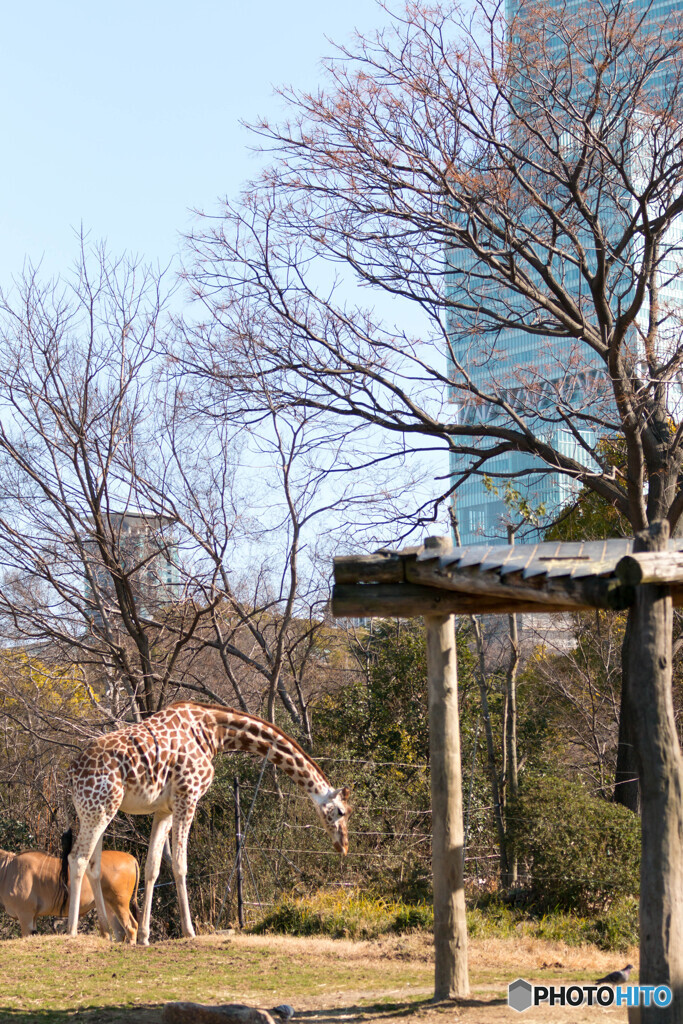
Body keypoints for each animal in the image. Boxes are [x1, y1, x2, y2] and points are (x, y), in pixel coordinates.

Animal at [66, 704, 350, 942]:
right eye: (341, 811)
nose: (344, 846)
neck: (214, 732)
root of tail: (72, 771)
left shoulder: (164, 809)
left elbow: (152, 868)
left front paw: (145, 937)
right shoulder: (188, 796)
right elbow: (180, 864)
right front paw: (189, 931)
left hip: (98, 809)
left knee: (93, 863)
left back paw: (106, 932)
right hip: (100, 807)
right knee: (77, 857)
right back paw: (71, 930)